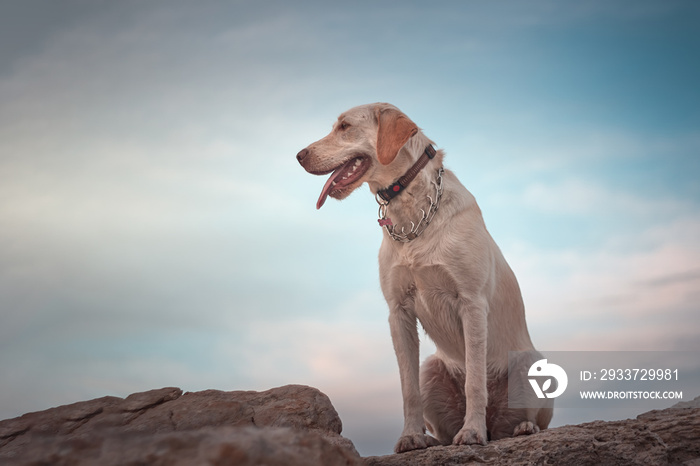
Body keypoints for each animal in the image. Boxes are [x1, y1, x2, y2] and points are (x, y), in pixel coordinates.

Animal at [296, 103, 552, 452]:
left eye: (345, 127)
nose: (298, 155)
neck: (412, 213)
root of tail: (495, 424)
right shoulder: (398, 311)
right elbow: (408, 388)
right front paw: (411, 436)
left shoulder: (472, 302)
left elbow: (475, 380)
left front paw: (471, 432)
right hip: (432, 367)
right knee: (445, 425)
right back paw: (437, 438)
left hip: (530, 362)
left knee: (526, 419)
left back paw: (519, 427)